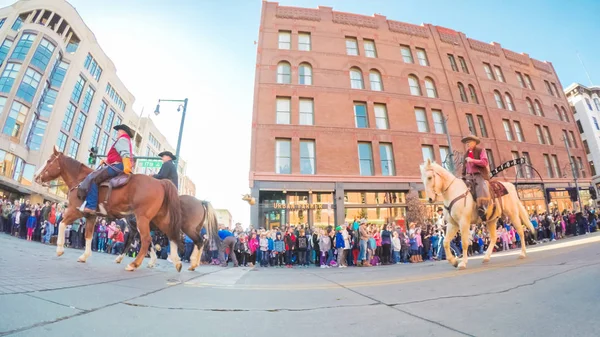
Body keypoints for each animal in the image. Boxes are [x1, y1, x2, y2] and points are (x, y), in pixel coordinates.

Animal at [32, 146, 182, 270]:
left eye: (49, 161)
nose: (35, 176)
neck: (80, 180)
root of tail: (161, 183)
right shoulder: (91, 216)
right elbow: (88, 235)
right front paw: (84, 256)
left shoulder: (75, 210)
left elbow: (62, 224)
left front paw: (60, 249)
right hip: (156, 220)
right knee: (168, 237)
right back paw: (175, 262)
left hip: (142, 219)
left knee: (146, 239)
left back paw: (134, 264)